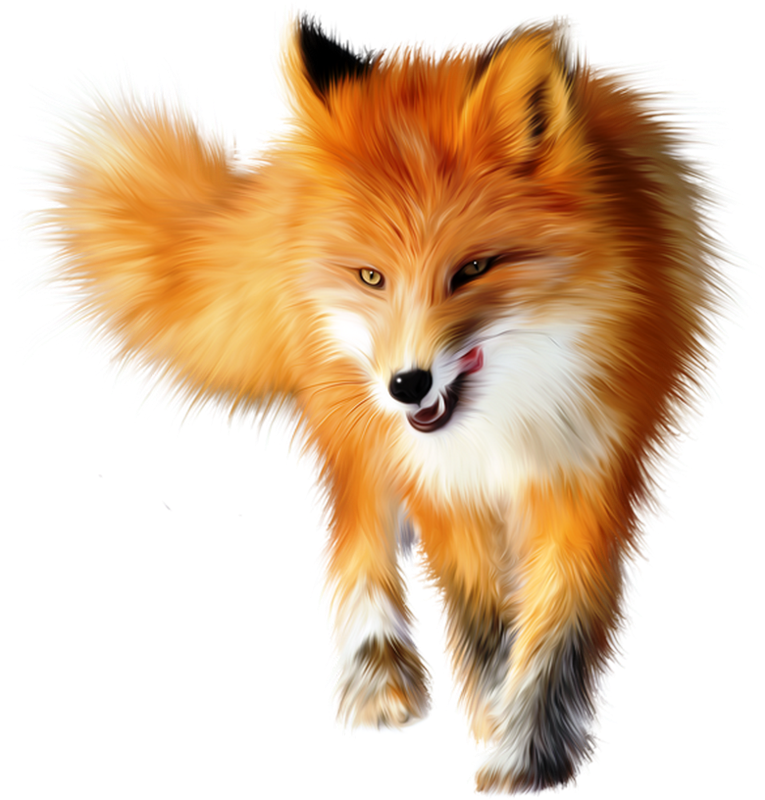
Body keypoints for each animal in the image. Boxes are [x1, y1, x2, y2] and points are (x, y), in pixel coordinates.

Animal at [13, 5, 755, 798]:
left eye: (473, 270)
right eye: (371, 277)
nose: (407, 386)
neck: (508, 416)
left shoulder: (590, 475)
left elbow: (557, 631)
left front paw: (525, 756)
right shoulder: (441, 483)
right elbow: (482, 628)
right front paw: (493, 720)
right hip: (351, 420)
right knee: (352, 536)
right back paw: (376, 674)